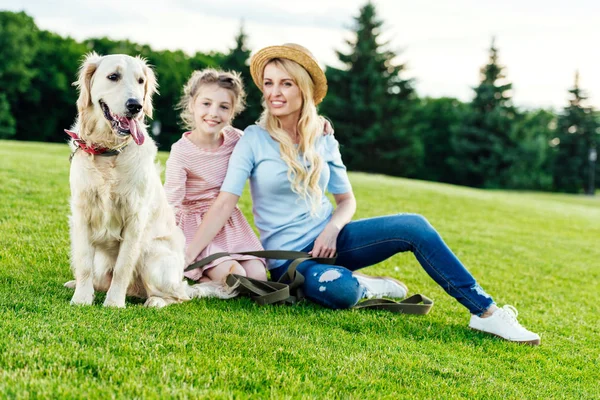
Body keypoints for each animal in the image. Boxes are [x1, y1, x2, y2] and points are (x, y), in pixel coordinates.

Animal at [65, 53, 232, 308]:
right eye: (113, 76)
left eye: (141, 81)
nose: (136, 106)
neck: (109, 152)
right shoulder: (82, 212)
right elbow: (83, 262)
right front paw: (82, 298)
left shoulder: (135, 217)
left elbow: (123, 266)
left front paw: (114, 303)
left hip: (154, 255)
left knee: (179, 296)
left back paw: (155, 302)